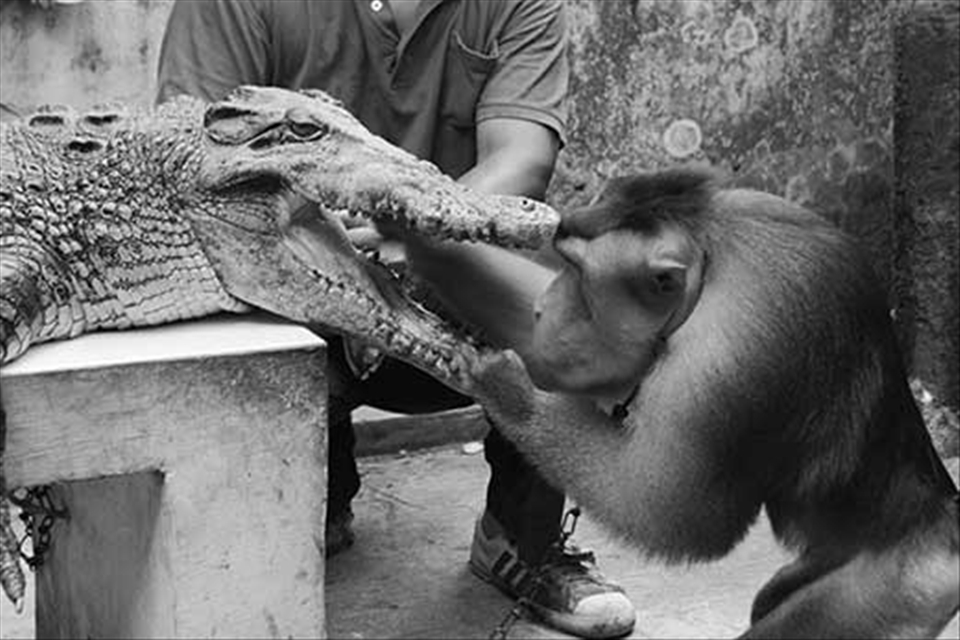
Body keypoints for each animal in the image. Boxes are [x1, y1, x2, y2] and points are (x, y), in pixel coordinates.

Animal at [401, 166, 960, 638]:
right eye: (563, 263)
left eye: (579, 276)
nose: (543, 310)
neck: (713, 257)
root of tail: (943, 528)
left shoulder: (726, 358)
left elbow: (677, 514)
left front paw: (510, 393)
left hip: (893, 590)